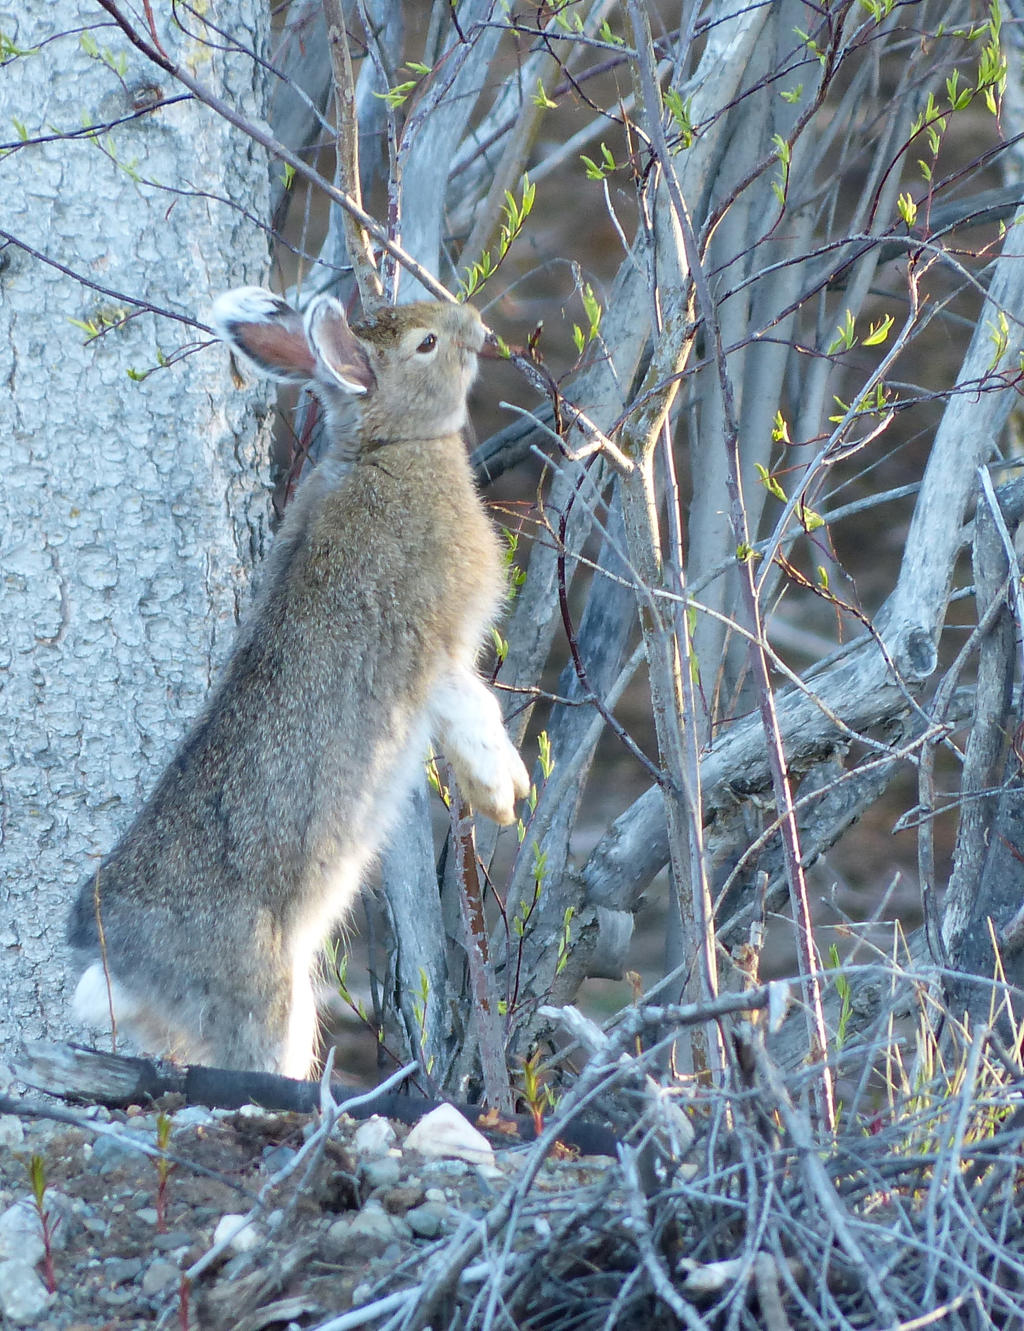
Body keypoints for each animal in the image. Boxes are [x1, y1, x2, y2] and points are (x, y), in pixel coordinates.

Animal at [69, 291, 527, 1080]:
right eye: (427, 343)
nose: (477, 327)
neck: (386, 447)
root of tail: (115, 967)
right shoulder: (430, 646)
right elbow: (474, 707)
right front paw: (503, 791)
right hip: (268, 995)